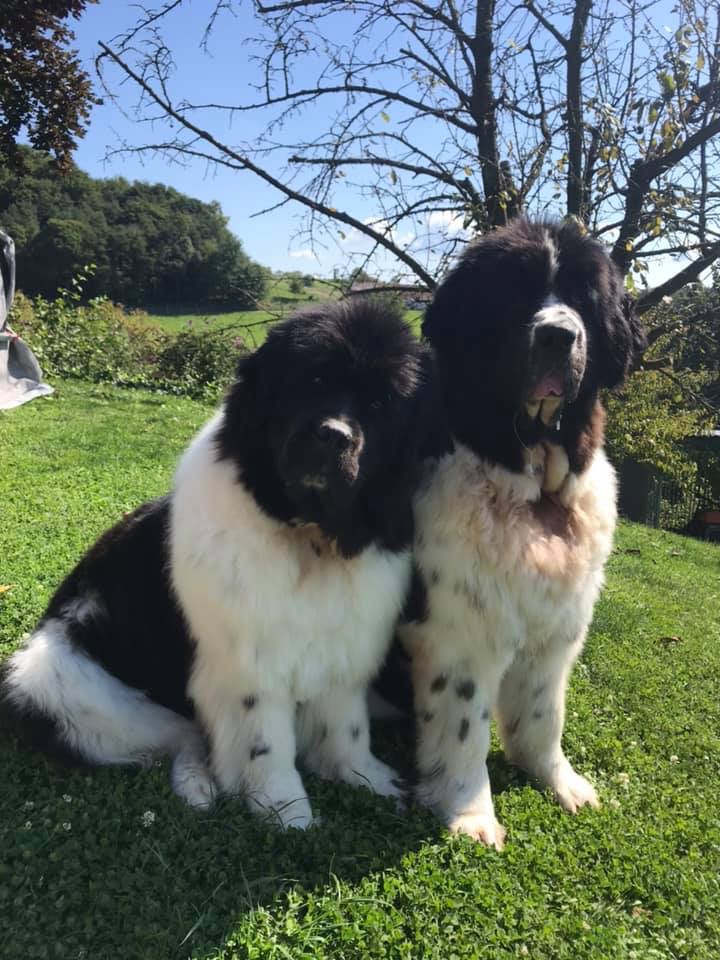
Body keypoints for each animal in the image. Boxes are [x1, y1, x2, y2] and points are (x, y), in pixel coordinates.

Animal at [1, 298, 440, 829]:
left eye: (381, 406)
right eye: (312, 381)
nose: (334, 436)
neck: (307, 537)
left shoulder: (343, 650)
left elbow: (347, 727)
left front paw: (365, 778)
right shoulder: (247, 665)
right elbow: (265, 742)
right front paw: (285, 810)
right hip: (50, 683)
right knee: (181, 735)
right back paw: (199, 785)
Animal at [396, 218, 646, 847]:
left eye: (584, 299)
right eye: (516, 293)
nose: (560, 336)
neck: (535, 490)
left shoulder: (558, 627)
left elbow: (543, 712)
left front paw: (559, 781)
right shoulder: (461, 632)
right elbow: (464, 726)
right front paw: (470, 814)